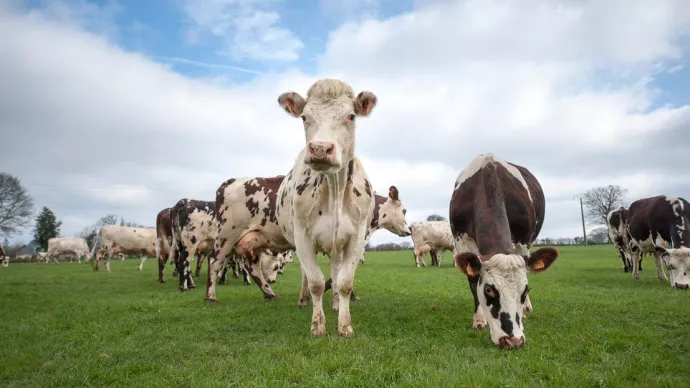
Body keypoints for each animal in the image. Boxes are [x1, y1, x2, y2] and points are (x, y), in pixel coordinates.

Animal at [204, 78, 376, 336]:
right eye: (304, 117)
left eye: (351, 116)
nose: (320, 149)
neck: (334, 190)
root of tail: (231, 181)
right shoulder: (302, 237)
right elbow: (315, 282)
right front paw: (318, 326)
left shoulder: (354, 238)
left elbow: (343, 282)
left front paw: (344, 324)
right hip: (226, 234)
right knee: (215, 262)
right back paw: (211, 296)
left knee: (253, 266)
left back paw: (271, 294)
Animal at [448, 153, 556, 350]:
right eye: (489, 290)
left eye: (525, 290)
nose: (513, 340)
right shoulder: (462, 240)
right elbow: (473, 281)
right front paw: (479, 319)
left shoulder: (523, 241)